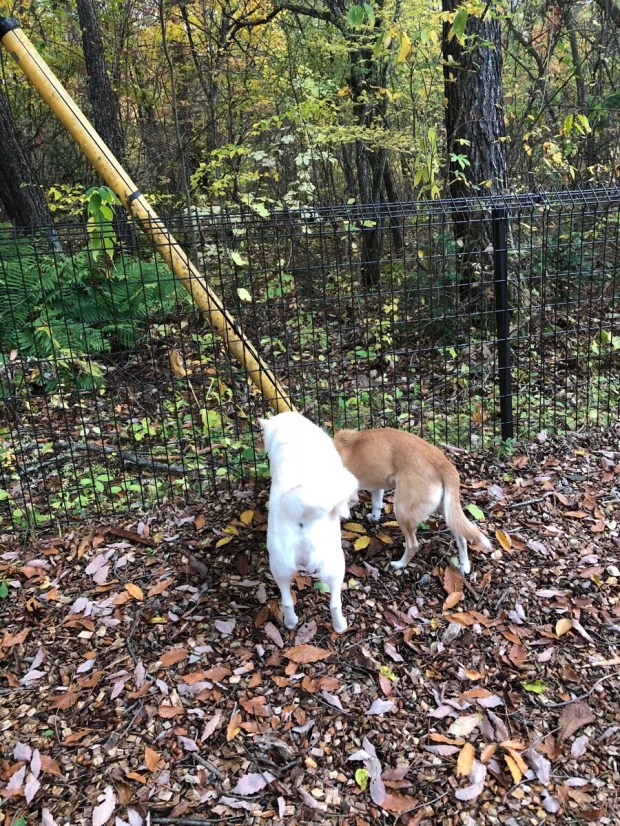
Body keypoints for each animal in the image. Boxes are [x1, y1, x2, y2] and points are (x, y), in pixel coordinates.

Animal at [260, 412, 358, 633]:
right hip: (335, 563)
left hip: (279, 565)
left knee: (287, 600)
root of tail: (297, 506)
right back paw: (340, 626)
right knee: (335, 603)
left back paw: (290, 622)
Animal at [333, 428, 491, 575]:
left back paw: (399, 564)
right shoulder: (377, 485)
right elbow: (377, 505)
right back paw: (465, 566)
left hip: (402, 510)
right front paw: (373, 517)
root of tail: (443, 463)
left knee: (413, 545)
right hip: (447, 510)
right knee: (461, 538)